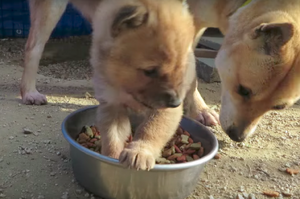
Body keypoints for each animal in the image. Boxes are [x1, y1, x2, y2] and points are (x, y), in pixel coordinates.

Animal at [90, 0, 197, 171]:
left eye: (179, 68)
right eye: (150, 71)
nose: (175, 102)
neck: (126, 90)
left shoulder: (164, 111)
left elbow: (150, 129)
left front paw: (139, 152)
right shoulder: (112, 105)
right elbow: (112, 136)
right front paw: (111, 156)